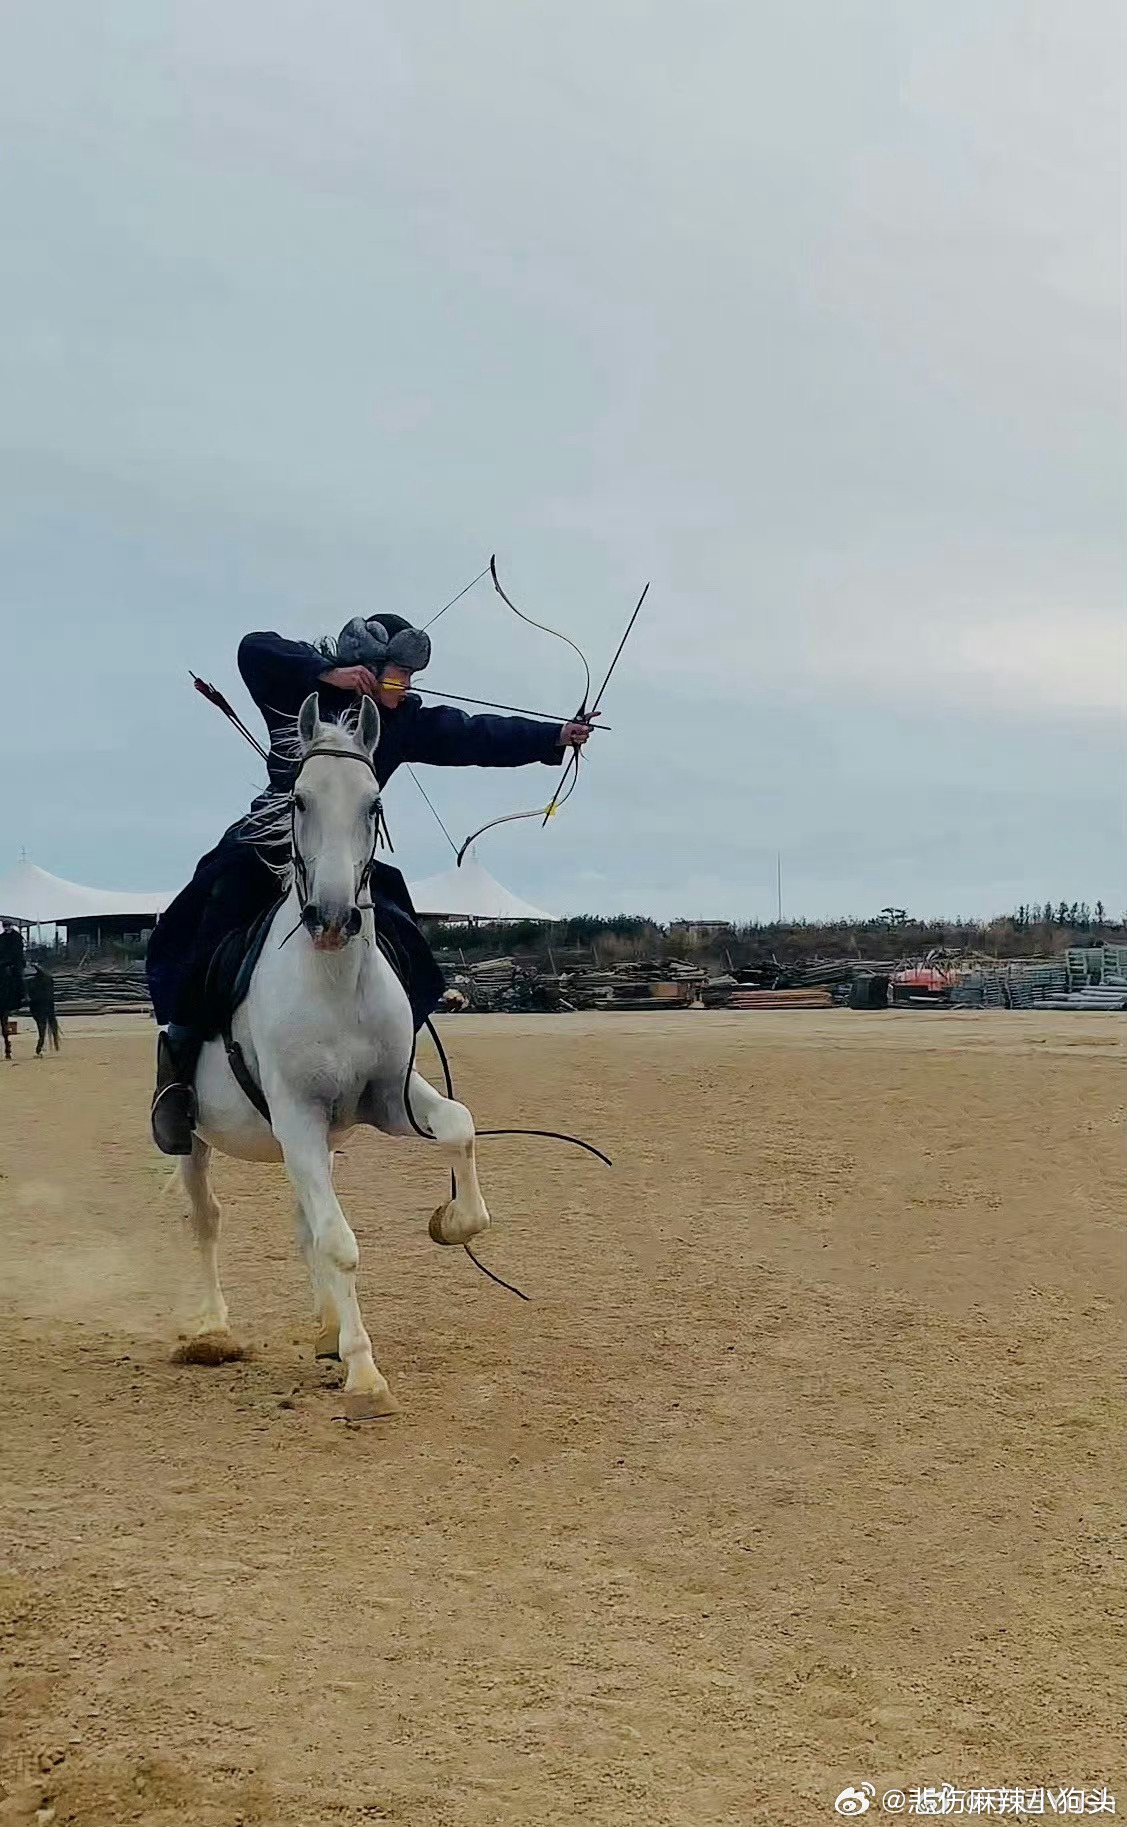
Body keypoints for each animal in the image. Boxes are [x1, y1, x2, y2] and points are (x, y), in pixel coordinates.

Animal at [179, 690, 489, 1417]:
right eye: (298, 799)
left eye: (373, 802)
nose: (330, 918)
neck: (334, 983)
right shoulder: (296, 1112)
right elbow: (341, 1242)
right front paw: (365, 1376)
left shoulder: (385, 1098)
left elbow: (458, 1124)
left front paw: (451, 1222)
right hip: (199, 1138)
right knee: (208, 1219)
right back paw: (212, 1330)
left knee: (302, 1224)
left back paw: (323, 1328)